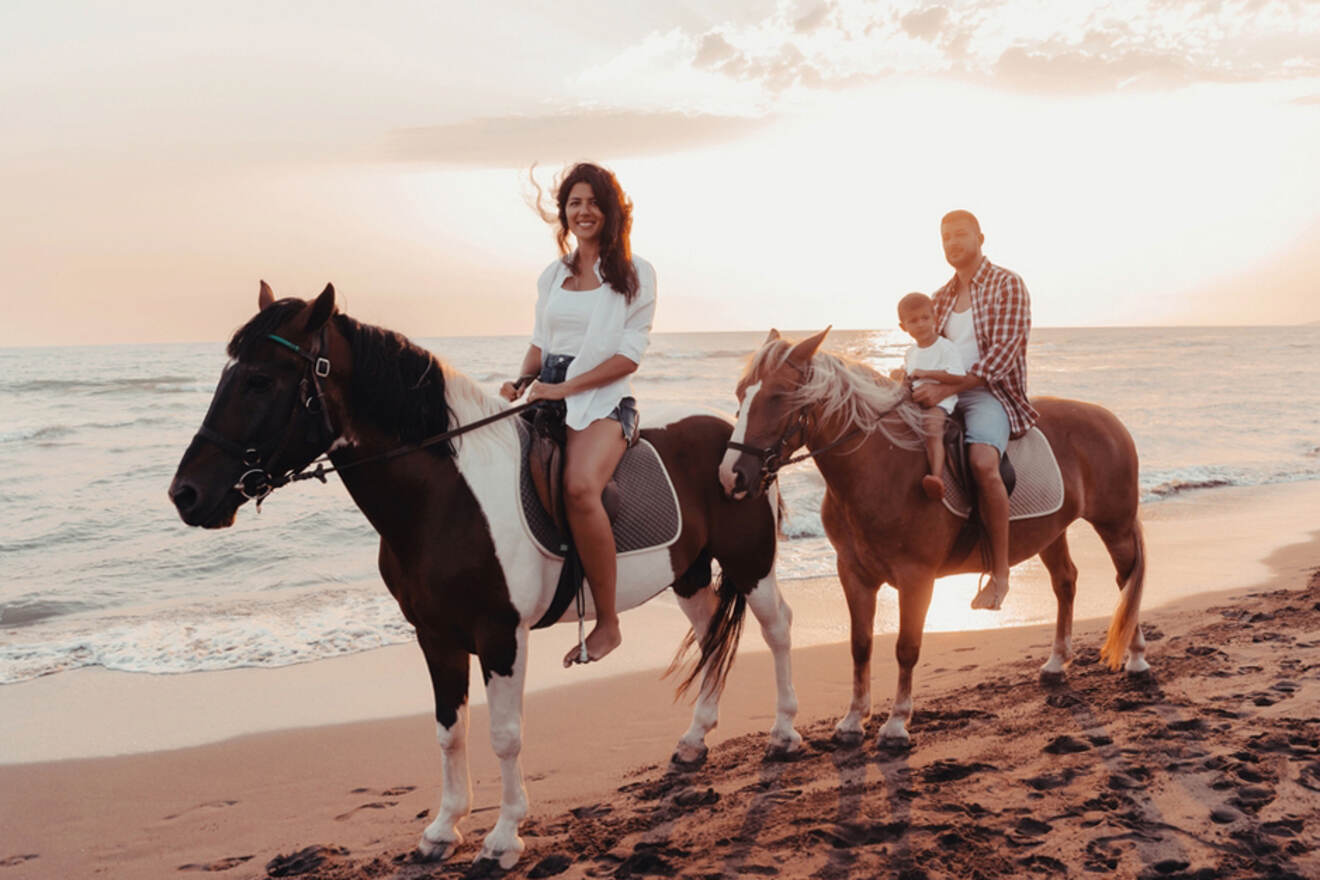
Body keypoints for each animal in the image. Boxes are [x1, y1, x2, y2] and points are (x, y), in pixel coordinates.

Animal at [167, 286, 802, 870]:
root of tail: (741, 447)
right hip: (688, 574)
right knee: (711, 635)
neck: (446, 497)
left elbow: (504, 734)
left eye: (260, 381)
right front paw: (443, 829)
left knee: (777, 629)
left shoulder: (500, 634)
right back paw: (694, 741)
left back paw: (784, 734)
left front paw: (503, 837)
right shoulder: (435, 636)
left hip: (752, 565)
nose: (186, 494)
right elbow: (450, 731)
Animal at [712, 329, 1145, 749]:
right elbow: (860, 644)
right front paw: (853, 721)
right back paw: (1057, 663)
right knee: (1066, 582)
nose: (731, 476)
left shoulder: (916, 577)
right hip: (1052, 532)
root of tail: (1109, 420)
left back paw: (1136, 659)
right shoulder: (853, 574)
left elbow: (906, 647)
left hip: (1115, 525)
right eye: (741, 394)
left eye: (778, 396)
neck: (882, 468)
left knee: (1126, 580)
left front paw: (896, 725)